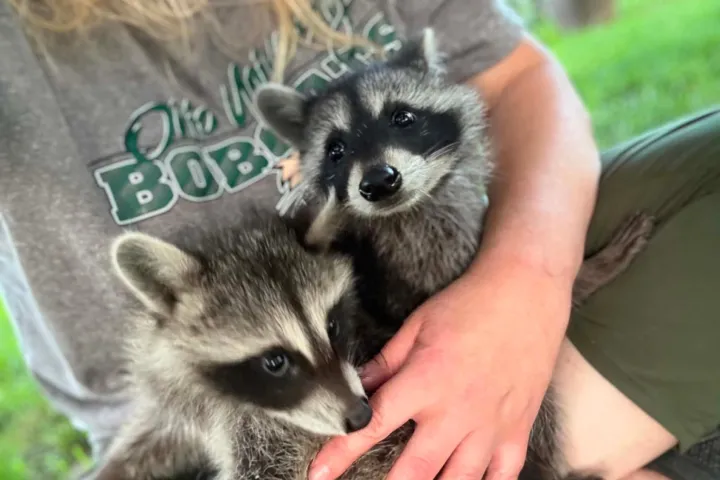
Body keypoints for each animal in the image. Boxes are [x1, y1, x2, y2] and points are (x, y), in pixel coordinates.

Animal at [93, 213, 414, 480]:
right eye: (275, 361)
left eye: (332, 327)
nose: (362, 417)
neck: (224, 395)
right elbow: (160, 435)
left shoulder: (279, 437)